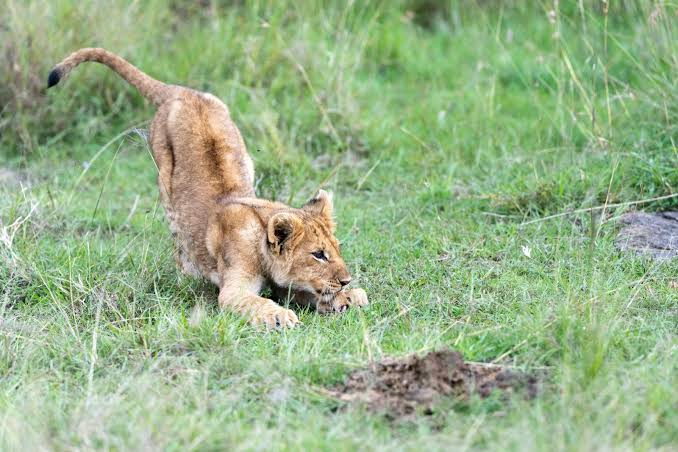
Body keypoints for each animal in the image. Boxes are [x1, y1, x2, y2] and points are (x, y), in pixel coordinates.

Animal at [47, 48, 368, 328]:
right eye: (318, 254)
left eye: (336, 248)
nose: (347, 279)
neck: (260, 238)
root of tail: (180, 91)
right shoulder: (233, 290)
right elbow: (257, 302)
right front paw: (280, 316)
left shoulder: (289, 286)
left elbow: (311, 293)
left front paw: (350, 297)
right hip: (166, 185)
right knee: (179, 241)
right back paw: (188, 276)